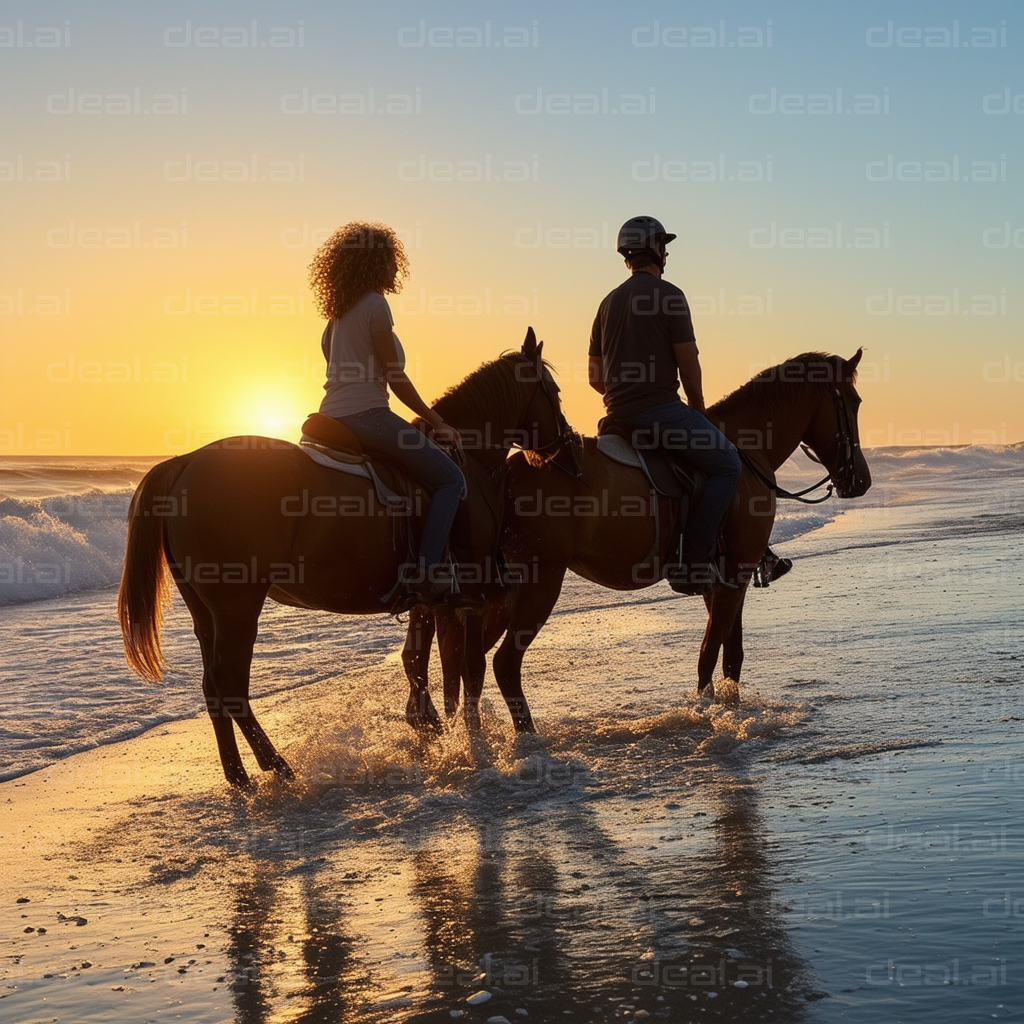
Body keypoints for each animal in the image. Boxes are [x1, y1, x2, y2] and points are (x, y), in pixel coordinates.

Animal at [119, 327, 573, 782]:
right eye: (554, 391)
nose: (566, 446)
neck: (470, 465)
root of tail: (186, 462)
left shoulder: (427, 597)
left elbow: (415, 660)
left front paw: (428, 727)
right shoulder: (472, 597)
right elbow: (470, 668)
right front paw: (475, 743)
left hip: (205, 607)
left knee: (212, 685)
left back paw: (238, 775)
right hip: (237, 605)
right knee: (229, 680)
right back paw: (275, 764)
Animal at [399, 348, 872, 733]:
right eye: (853, 402)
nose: (862, 481)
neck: (745, 450)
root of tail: (503, 472)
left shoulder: (721, 579)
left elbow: (729, 652)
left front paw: (726, 708)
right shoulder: (736, 573)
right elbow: (713, 651)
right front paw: (707, 712)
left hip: (502, 590)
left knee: (466, 662)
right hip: (539, 583)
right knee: (500, 662)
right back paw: (523, 737)